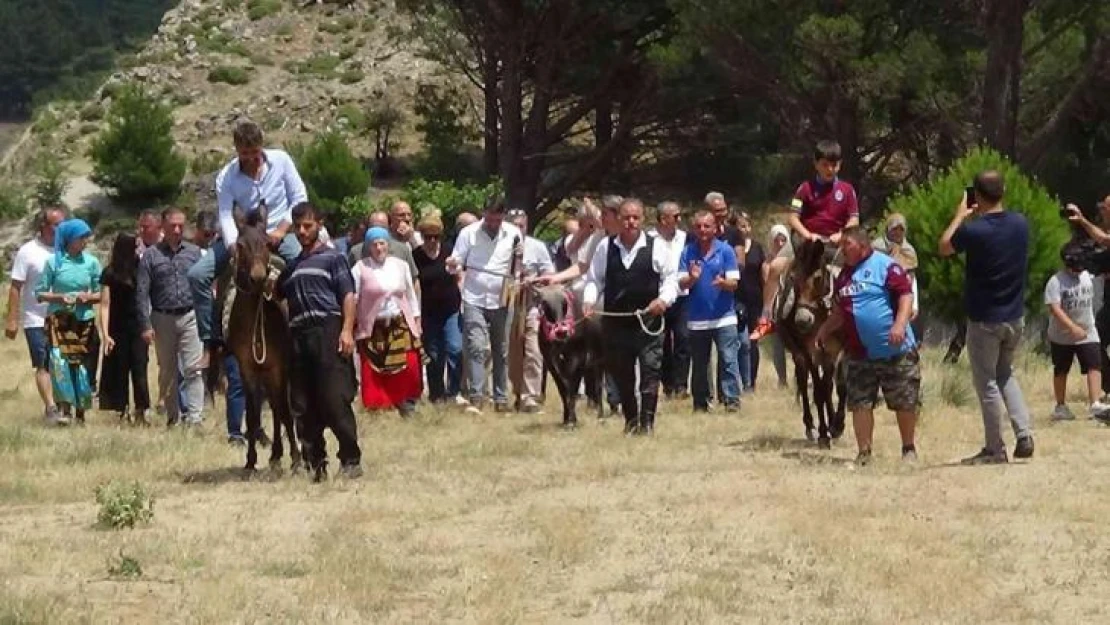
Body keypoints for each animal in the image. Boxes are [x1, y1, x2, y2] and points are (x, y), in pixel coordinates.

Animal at [227, 206, 301, 475]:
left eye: (268, 243)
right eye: (240, 245)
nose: (258, 278)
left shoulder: (280, 367)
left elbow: (285, 413)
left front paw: (296, 459)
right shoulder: (248, 368)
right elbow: (252, 415)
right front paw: (250, 461)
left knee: (282, 409)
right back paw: (275, 455)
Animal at [777, 237, 843, 448]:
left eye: (818, 278)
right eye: (793, 278)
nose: (803, 320)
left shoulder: (835, 352)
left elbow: (835, 386)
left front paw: (836, 425)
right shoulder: (809, 353)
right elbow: (818, 391)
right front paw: (823, 433)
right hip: (799, 355)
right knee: (804, 384)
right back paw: (811, 427)